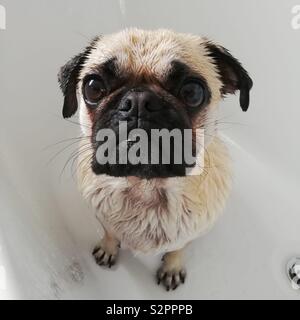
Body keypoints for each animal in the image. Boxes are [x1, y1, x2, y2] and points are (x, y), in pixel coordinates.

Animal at [57, 28, 252, 292]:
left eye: (192, 92)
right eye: (93, 87)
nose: (138, 102)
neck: (145, 188)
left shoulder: (188, 234)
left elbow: (178, 248)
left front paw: (172, 267)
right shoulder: (104, 219)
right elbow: (110, 233)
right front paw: (109, 248)